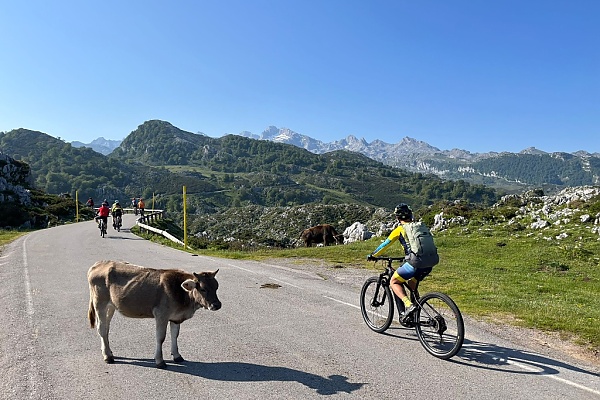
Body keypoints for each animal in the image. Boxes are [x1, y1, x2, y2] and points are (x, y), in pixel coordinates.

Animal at [86, 260, 220, 368]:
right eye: (203, 289)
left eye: (216, 287)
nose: (217, 305)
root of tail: (100, 263)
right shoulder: (161, 315)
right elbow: (160, 337)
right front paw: (160, 361)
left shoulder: (176, 317)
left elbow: (175, 335)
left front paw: (177, 356)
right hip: (100, 303)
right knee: (102, 328)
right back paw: (108, 356)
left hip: (111, 306)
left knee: (106, 327)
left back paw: (108, 352)